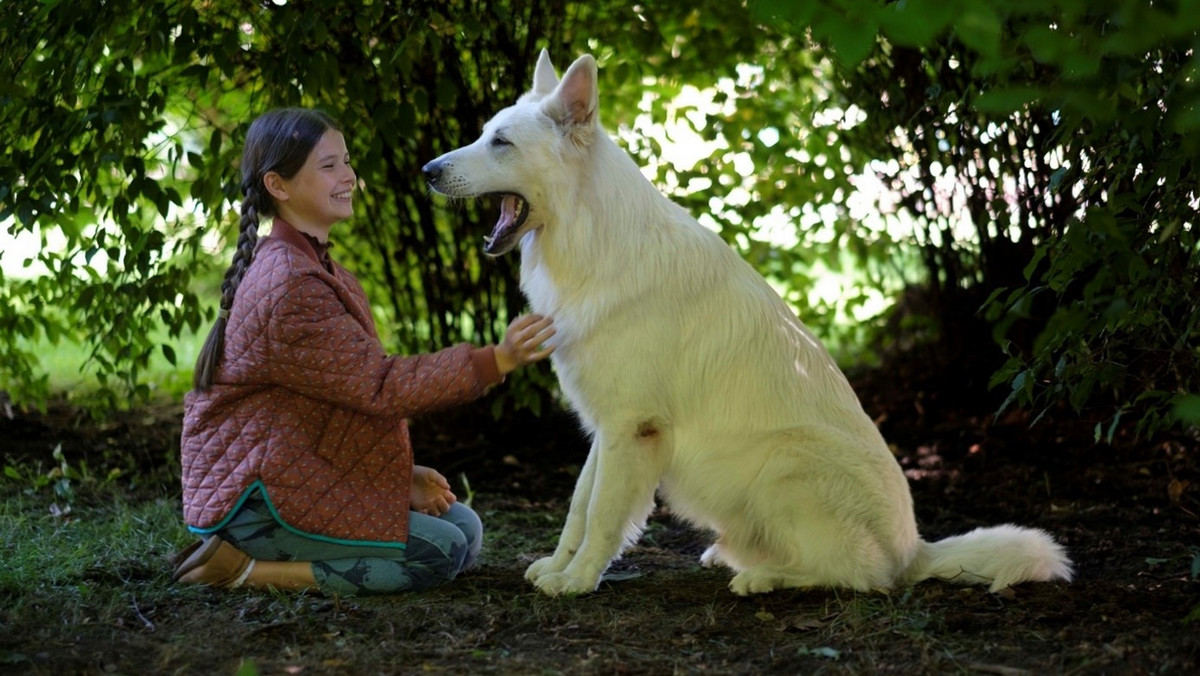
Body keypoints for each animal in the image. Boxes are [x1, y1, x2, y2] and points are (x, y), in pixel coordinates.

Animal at [424, 50, 1080, 595]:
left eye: (501, 142)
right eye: (484, 134)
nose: (429, 170)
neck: (595, 239)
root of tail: (915, 549)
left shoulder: (632, 430)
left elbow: (605, 516)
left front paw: (579, 581)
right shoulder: (605, 431)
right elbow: (579, 509)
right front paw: (560, 567)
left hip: (783, 464)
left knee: (861, 575)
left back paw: (765, 577)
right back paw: (734, 556)